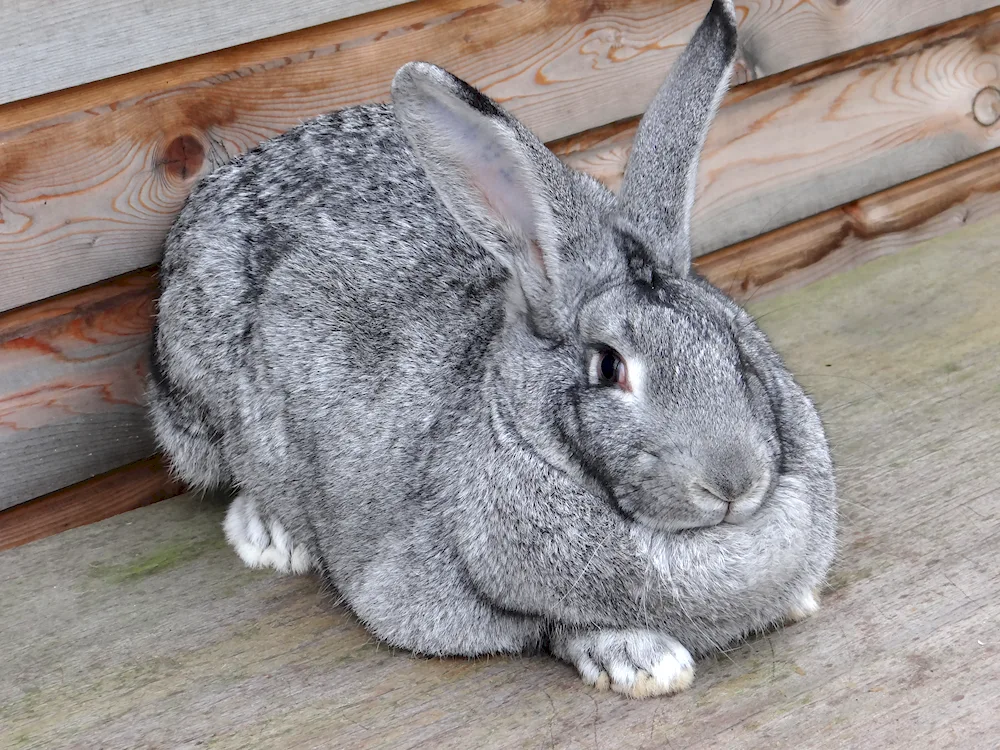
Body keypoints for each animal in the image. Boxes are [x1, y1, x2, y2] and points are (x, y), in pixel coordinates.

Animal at [148, 0, 836, 704]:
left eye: (736, 350)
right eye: (609, 366)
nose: (732, 483)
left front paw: (795, 600)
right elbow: (554, 627)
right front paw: (646, 664)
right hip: (202, 391)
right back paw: (271, 537)